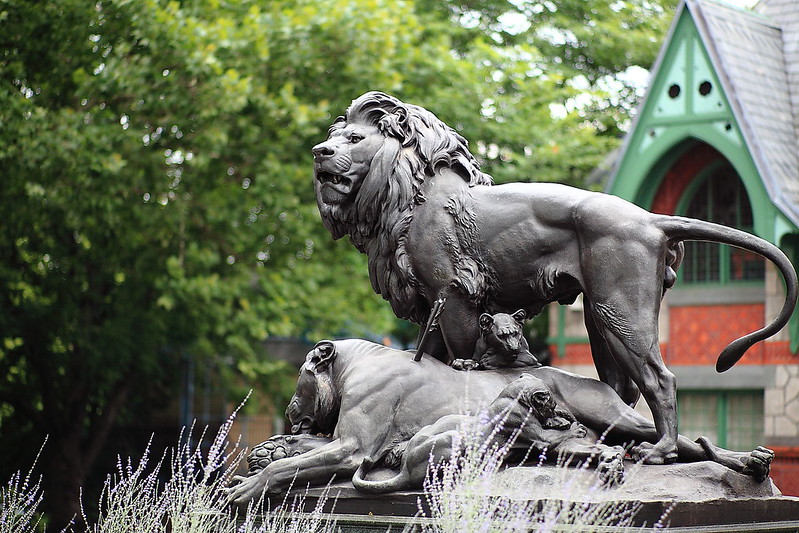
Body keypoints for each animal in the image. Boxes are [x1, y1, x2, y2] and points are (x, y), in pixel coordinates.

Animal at [227, 340, 776, 502]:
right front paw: (266, 451)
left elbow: (284, 467)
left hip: (617, 419)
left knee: (679, 441)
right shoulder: (338, 442)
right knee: (681, 446)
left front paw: (248, 485)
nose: (291, 410)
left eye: (300, 373)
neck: (353, 365)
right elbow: (289, 454)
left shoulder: (353, 447)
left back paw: (748, 461)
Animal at [314, 90, 799, 462]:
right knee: (620, 389)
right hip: (601, 319)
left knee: (661, 379)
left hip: (620, 309)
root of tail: (651, 218)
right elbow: (428, 355)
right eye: (332, 137)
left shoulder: (455, 294)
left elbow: (463, 359)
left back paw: (660, 451)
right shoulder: (430, 304)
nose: (320, 153)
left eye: (354, 138)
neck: (410, 195)